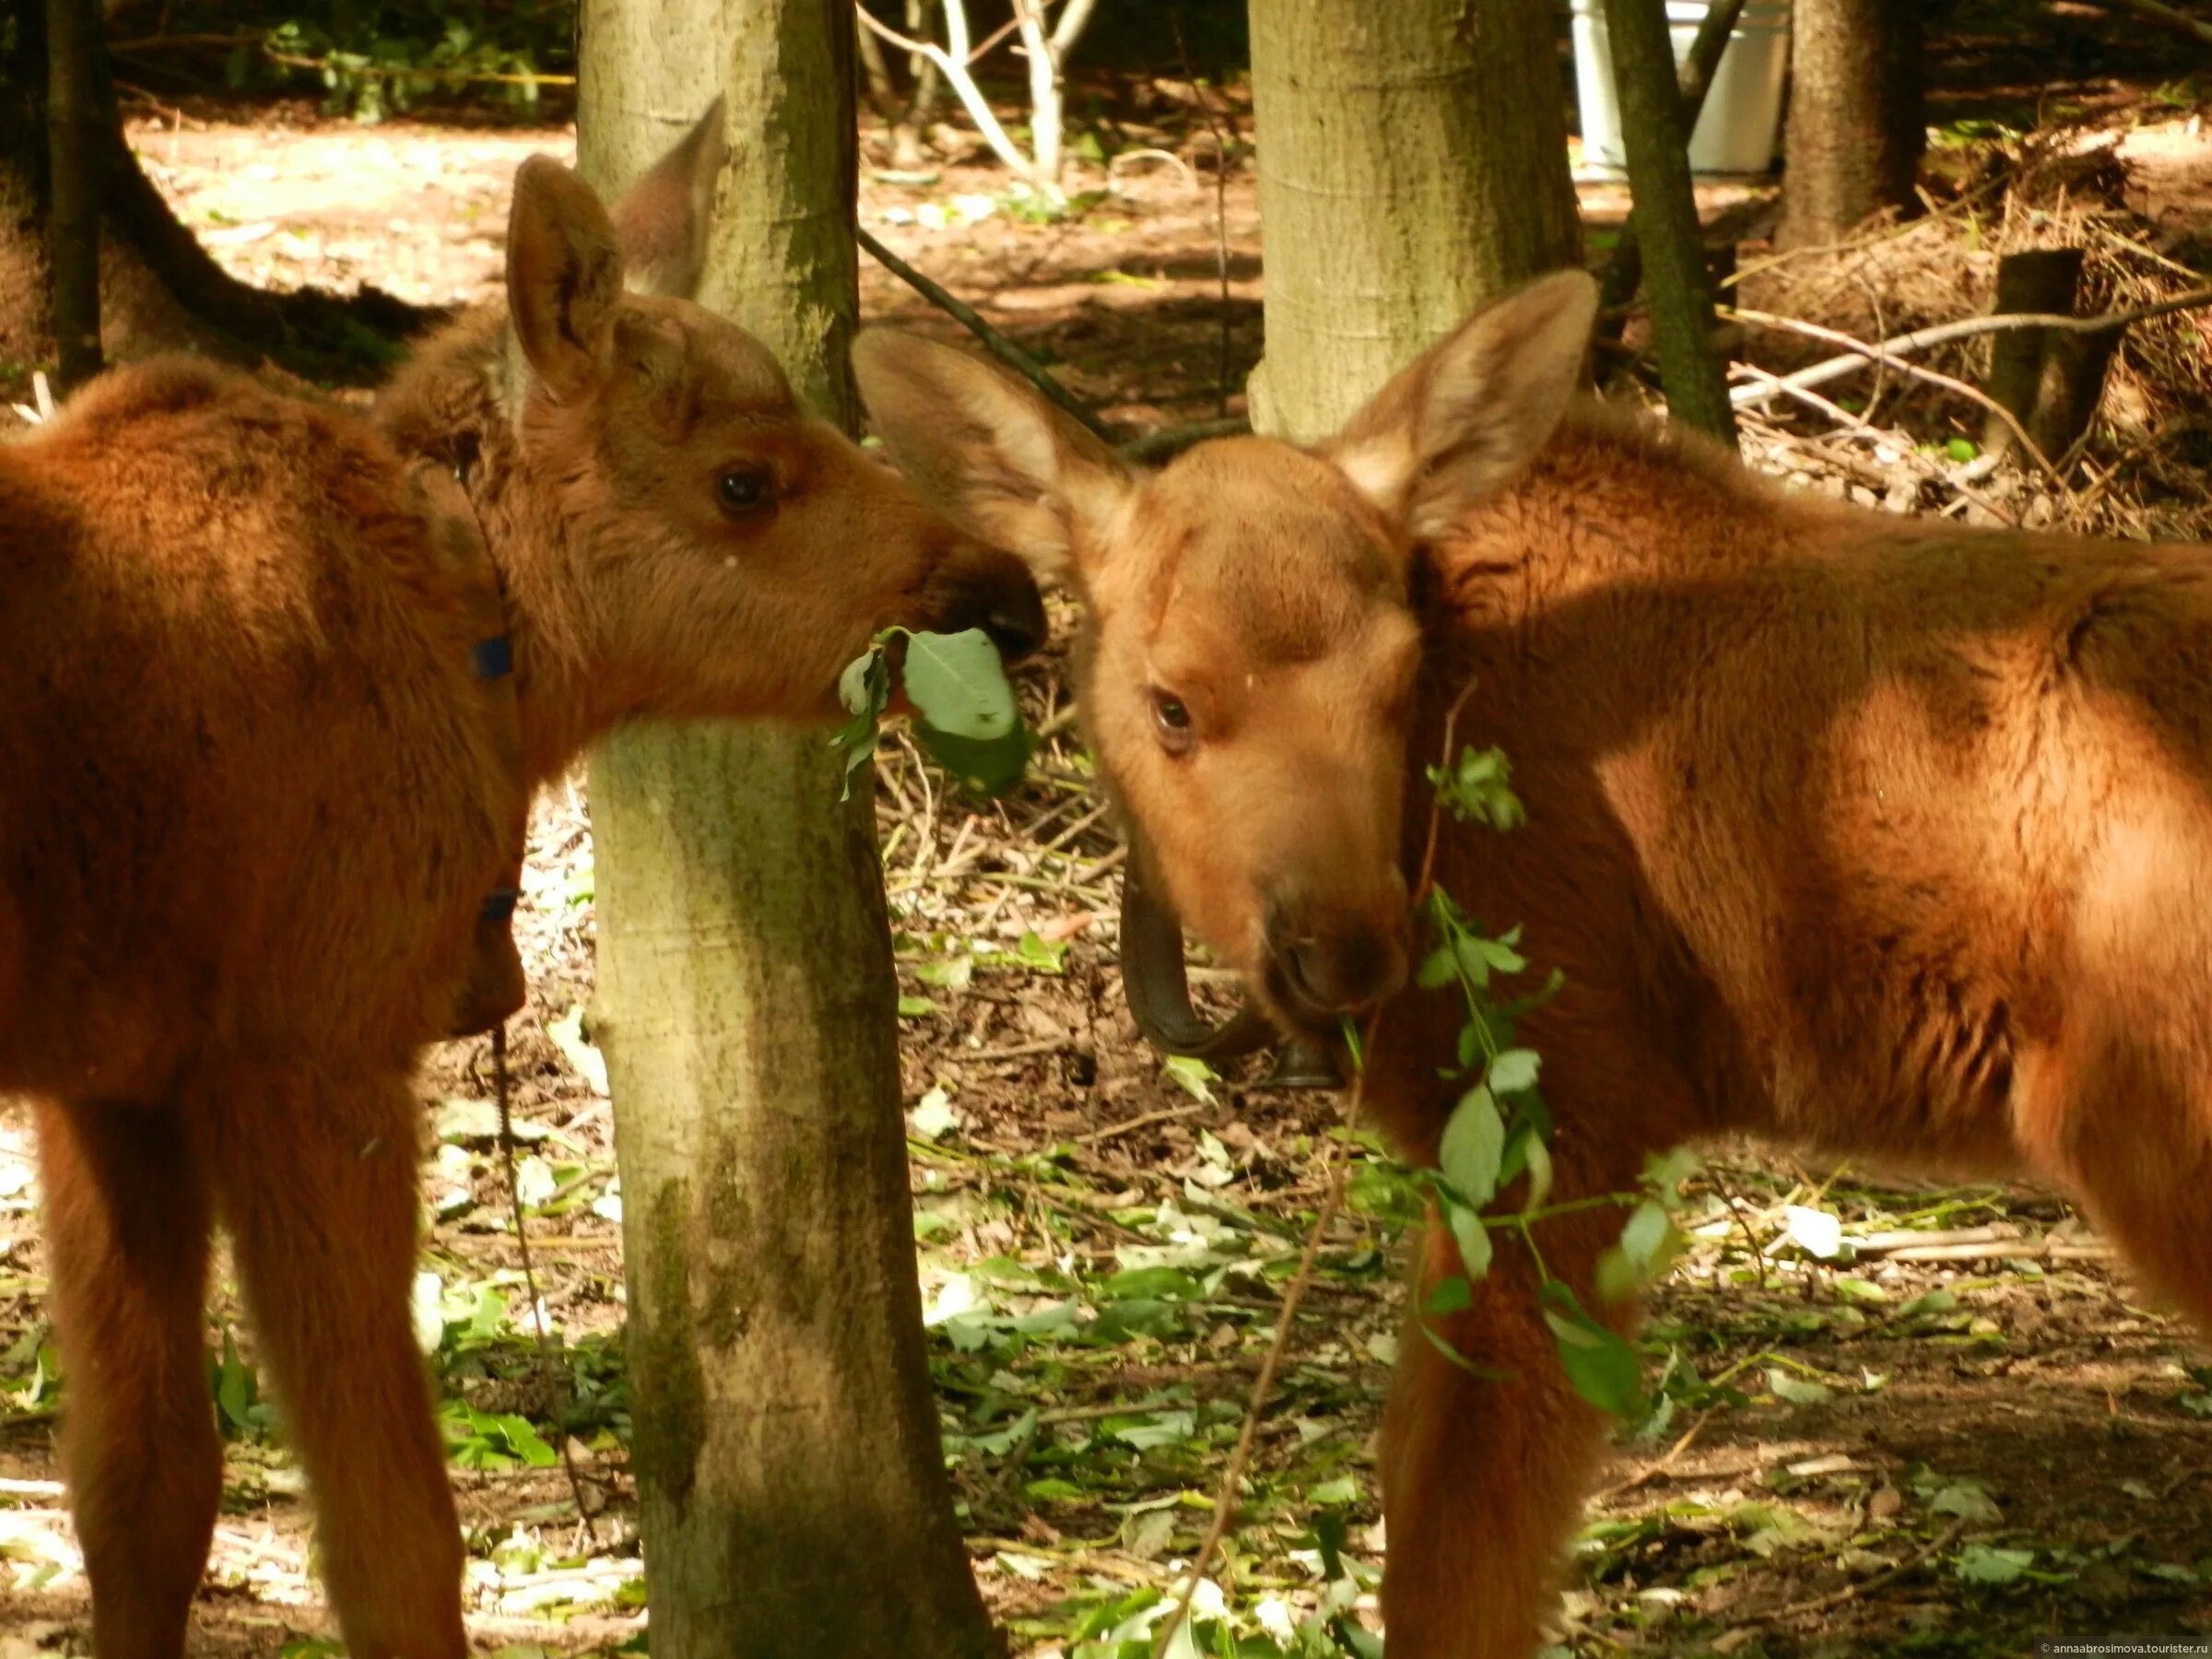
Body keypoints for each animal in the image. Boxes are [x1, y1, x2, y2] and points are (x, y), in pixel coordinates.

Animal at [0, 111, 1040, 1654]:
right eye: (743, 480)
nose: (1005, 595)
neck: (485, 657)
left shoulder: (115, 1077)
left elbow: (144, 1489)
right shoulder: (309, 1051)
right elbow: (392, 1542)